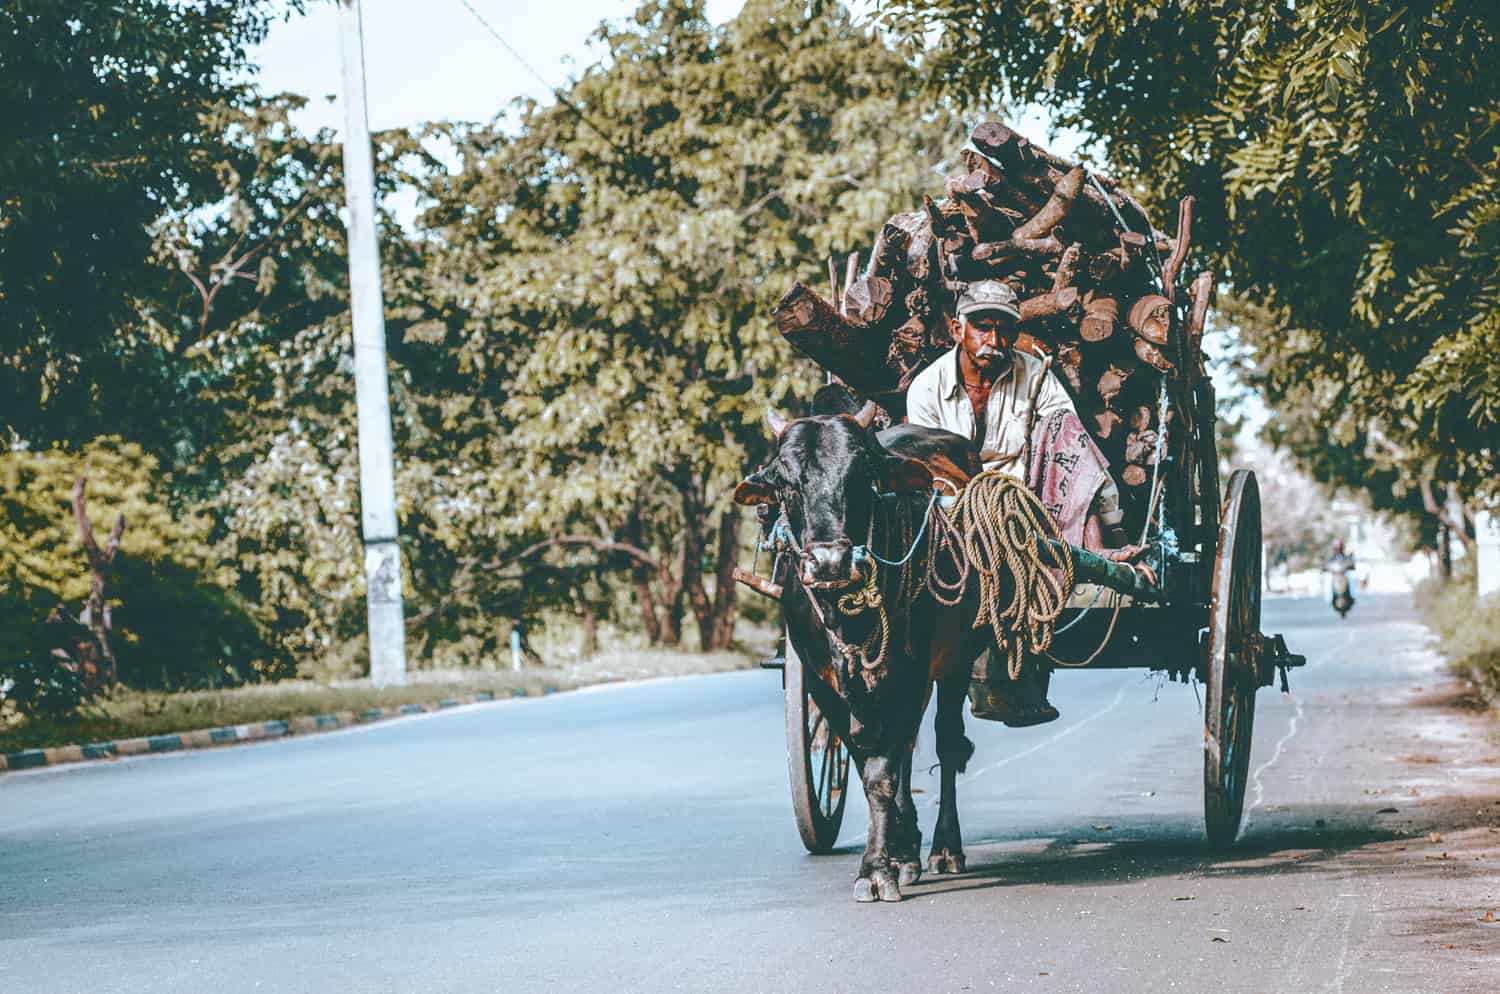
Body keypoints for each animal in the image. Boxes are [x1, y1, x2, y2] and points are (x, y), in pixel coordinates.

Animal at [729, 401, 990, 899]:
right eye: (786, 481)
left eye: (862, 472)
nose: (829, 562)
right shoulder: (821, 681)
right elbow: (865, 759)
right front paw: (893, 856)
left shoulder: (913, 672)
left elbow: (881, 774)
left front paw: (876, 868)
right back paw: (909, 848)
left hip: (955, 660)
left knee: (945, 741)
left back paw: (945, 847)